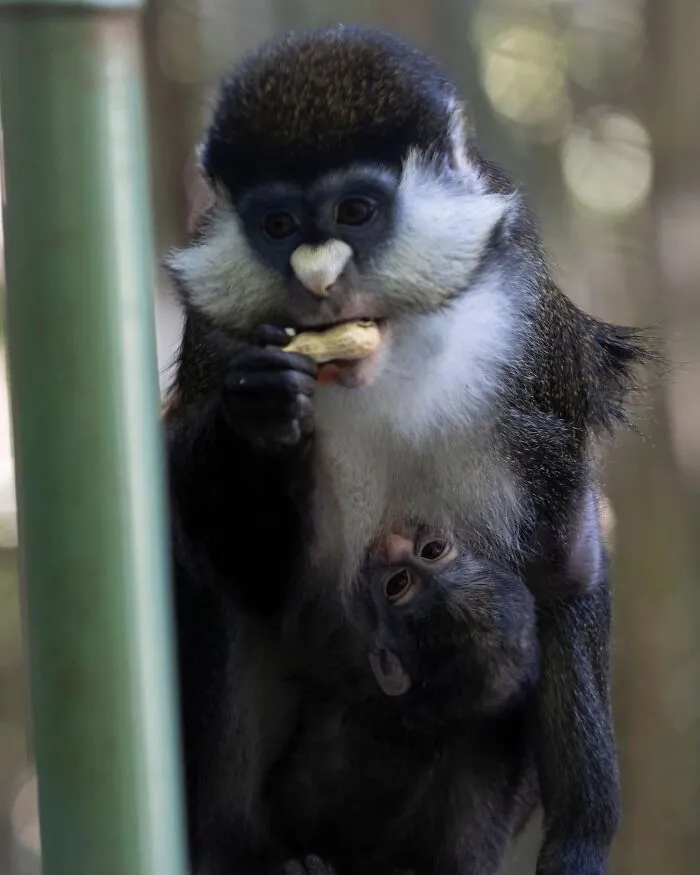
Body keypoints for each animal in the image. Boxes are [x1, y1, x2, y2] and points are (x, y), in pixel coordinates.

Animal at [163, 24, 650, 875]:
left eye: (356, 211)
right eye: (278, 226)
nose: (319, 280)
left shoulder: (539, 358)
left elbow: (566, 566)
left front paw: (580, 844)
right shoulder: (214, 335)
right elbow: (238, 572)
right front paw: (258, 411)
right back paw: (246, 855)